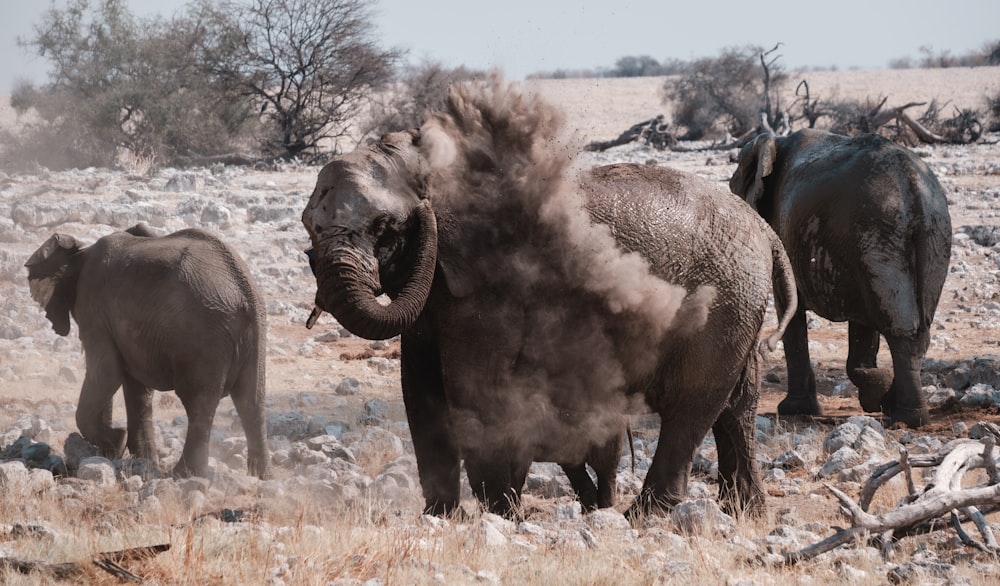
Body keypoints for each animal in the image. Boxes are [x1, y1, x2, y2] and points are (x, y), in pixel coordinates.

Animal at [26, 221, 270, 476]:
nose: (107, 453)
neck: (82, 251)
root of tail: (246, 292)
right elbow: (136, 387)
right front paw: (140, 459)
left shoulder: (94, 308)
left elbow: (107, 373)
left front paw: (118, 440)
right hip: (251, 333)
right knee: (251, 401)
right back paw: (261, 477)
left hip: (204, 337)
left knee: (199, 402)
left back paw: (183, 475)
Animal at [728, 128, 952, 426]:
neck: (776, 140)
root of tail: (912, 187)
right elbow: (861, 323)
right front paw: (876, 392)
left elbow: (791, 306)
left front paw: (793, 410)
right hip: (926, 237)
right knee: (916, 327)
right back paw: (901, 409)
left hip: (878, 233)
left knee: (899, 325)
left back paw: (905, 416)